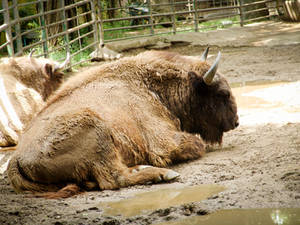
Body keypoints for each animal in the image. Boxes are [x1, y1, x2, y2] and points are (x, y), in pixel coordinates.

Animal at [7, 48, 239, 198]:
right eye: (222, 93)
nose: (236, 122)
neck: (149, 84)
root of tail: (15, 159)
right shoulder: (165, 141)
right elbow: (196, 145)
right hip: (95, 131)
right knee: (114, 178)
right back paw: (163, 174)